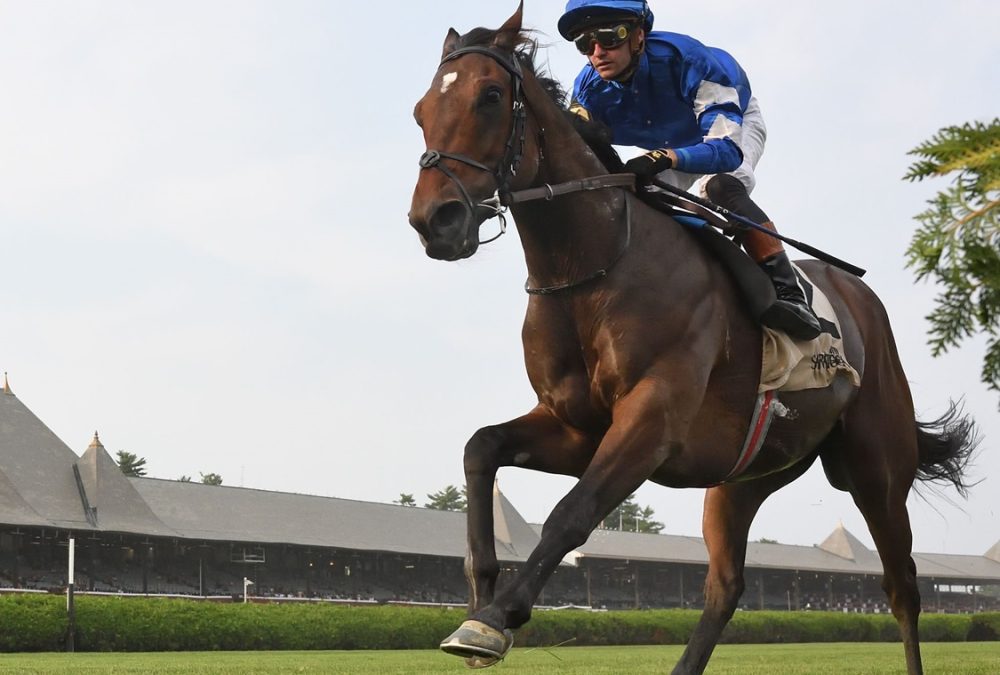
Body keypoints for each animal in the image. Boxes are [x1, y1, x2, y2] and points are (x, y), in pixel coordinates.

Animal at [406, 6, 976, 675]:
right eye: (421, 110)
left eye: (491, 97)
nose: (434, 221)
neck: (596, 266)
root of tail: (863, 302)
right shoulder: (577, 426)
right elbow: (481, 447)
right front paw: (480, 594)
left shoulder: (652, 419)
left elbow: (571, 513)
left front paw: (495, 620)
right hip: (745, 475)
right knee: (725, 587)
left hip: (878, 467)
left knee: (902, 586)